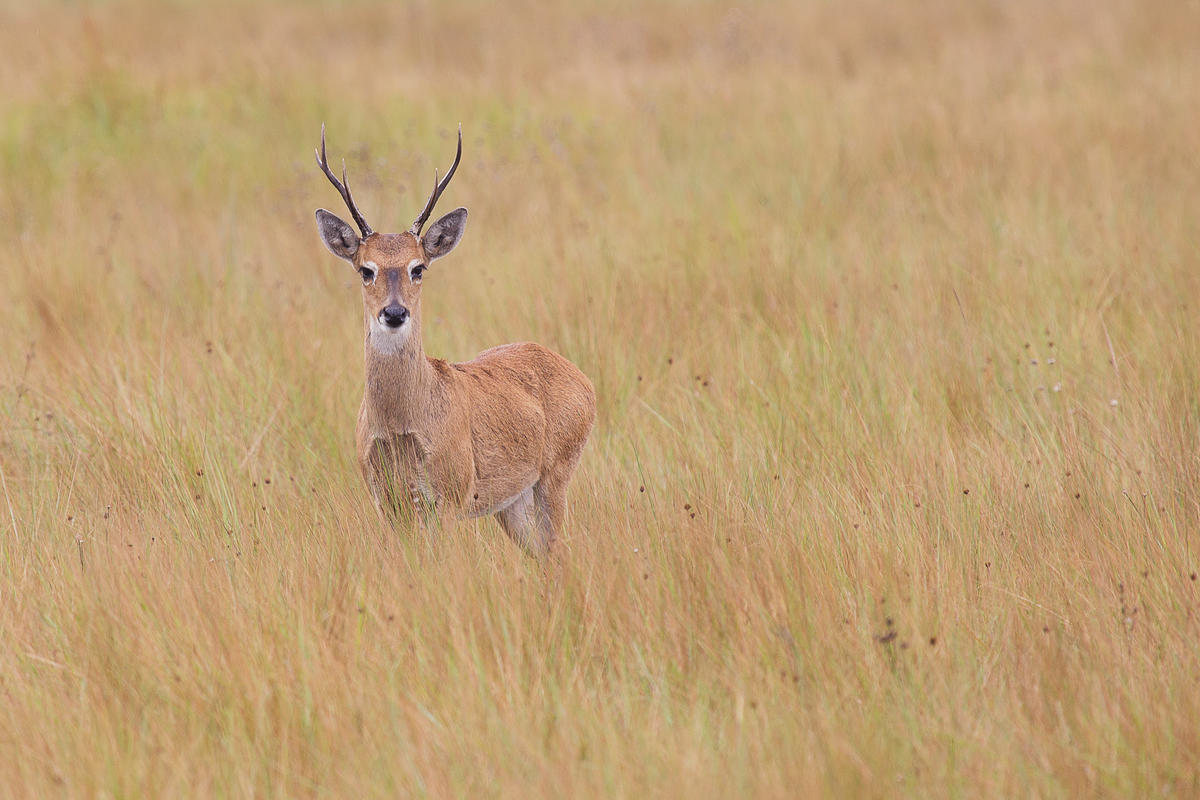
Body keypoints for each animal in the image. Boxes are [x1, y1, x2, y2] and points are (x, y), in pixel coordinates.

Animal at [313, 125, 595, 555]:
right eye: (365, 269)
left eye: (418, 268)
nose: (394, 313)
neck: (401, 423)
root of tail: (584, 381)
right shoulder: (386, 502)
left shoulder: (449, 495)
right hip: (511, 502)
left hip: (557, 473)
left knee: (561, 552)